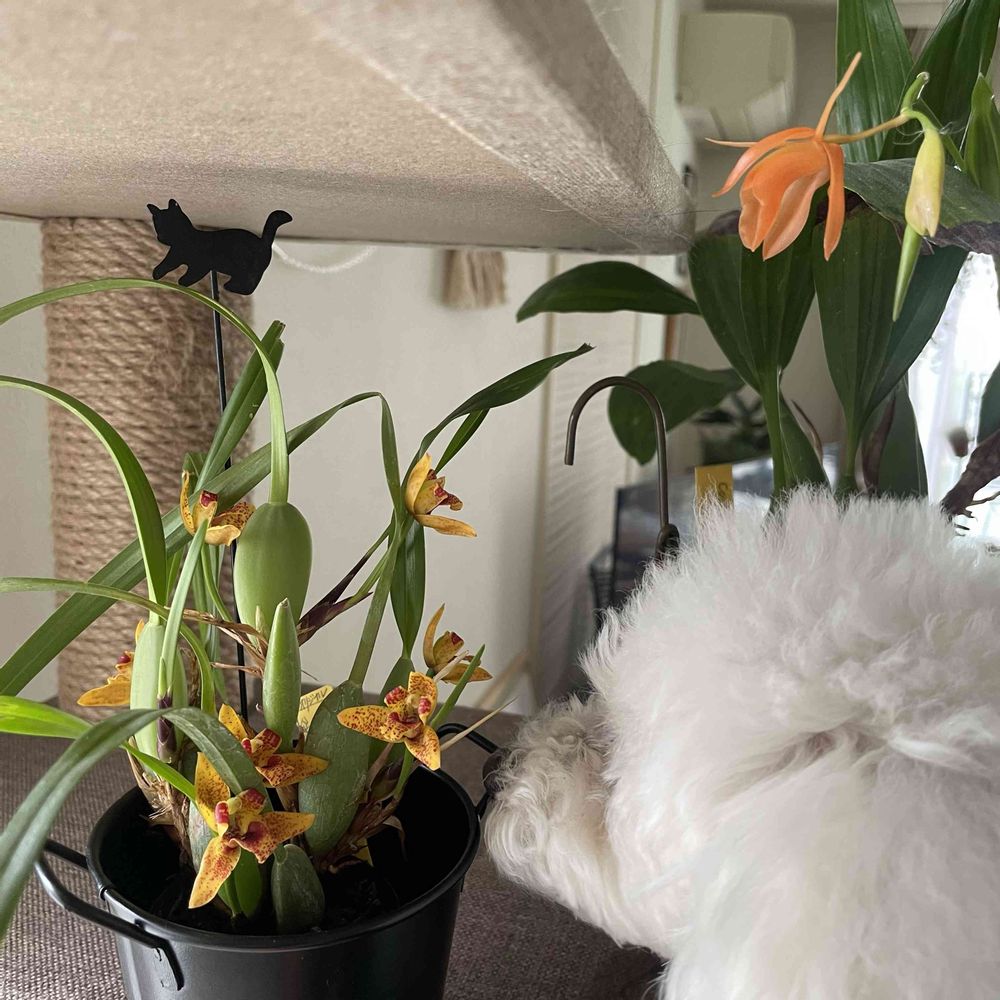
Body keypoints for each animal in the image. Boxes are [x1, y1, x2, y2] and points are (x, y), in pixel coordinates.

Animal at [147, 200, 292, 295]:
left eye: (170, 225)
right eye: (157, 226)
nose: (160, 237)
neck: (184, 242)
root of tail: (264, 241)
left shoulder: (201, 265)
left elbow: (191, 275)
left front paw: (182, 282)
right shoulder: (174, 256)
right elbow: (165, 264)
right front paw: (156, 274)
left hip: (249, 269)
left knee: (249, 287)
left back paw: (229, 287)